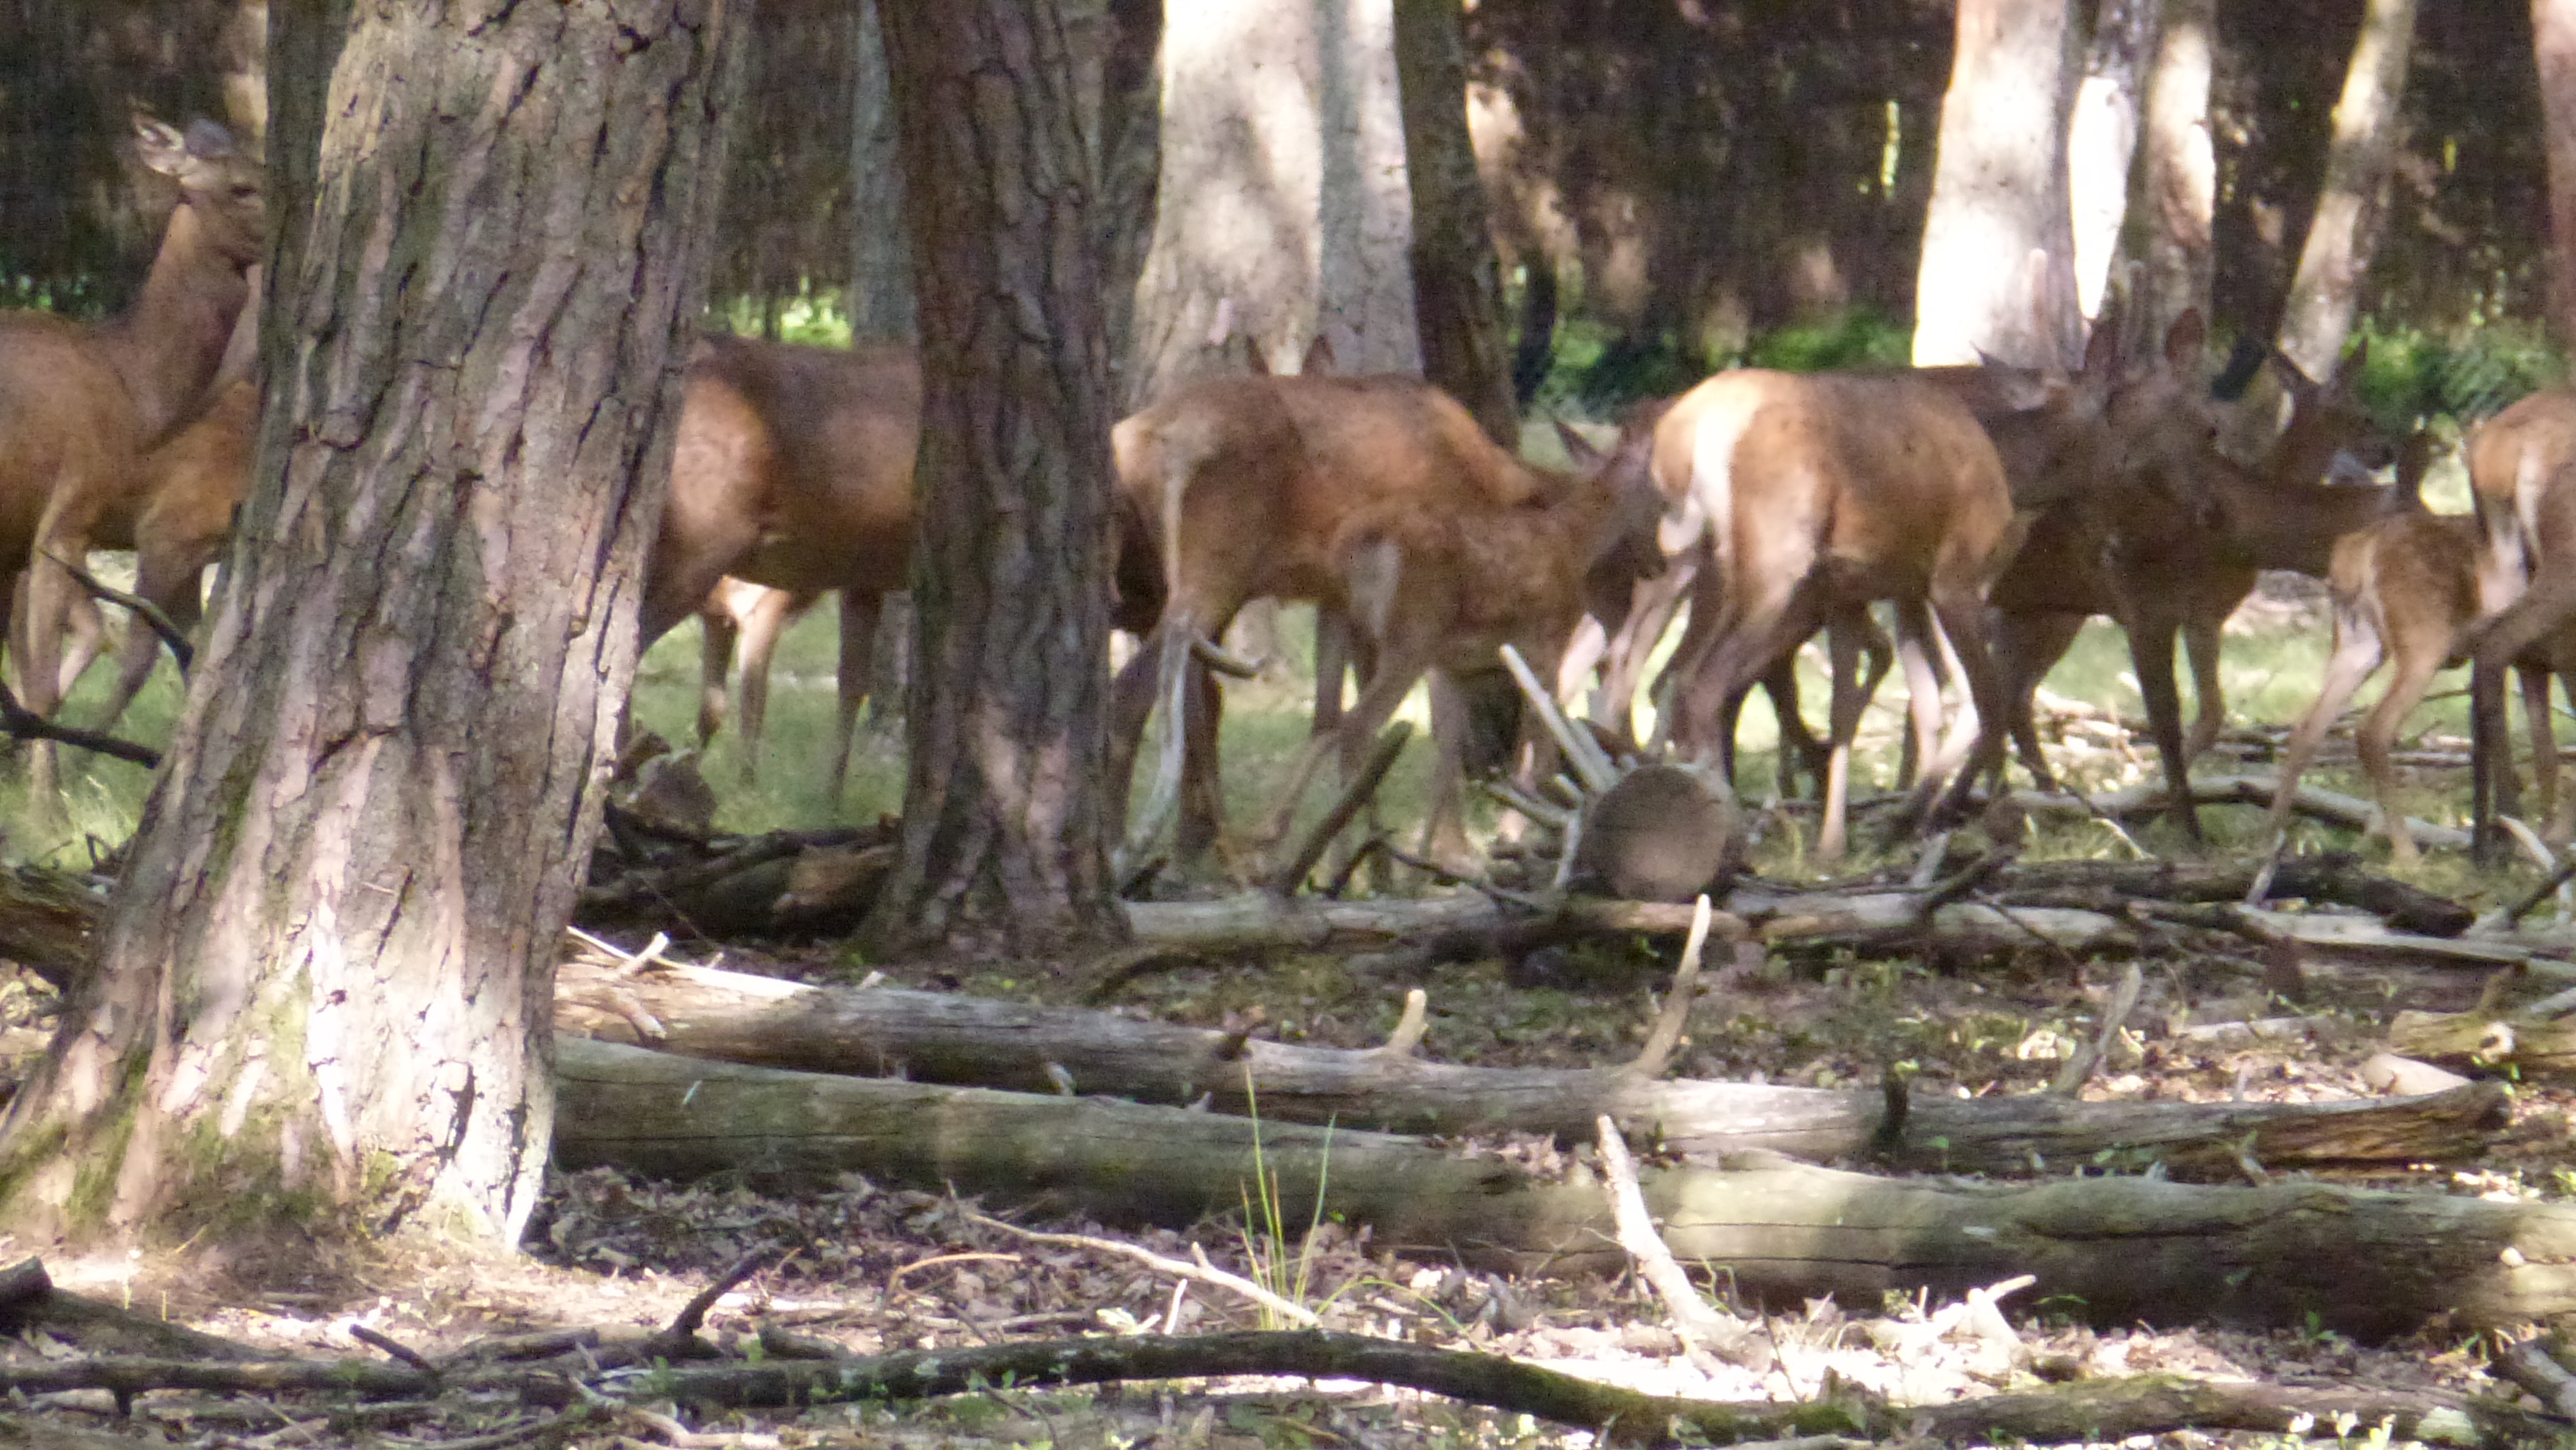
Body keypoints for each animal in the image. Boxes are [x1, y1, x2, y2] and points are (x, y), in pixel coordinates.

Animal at [2259, 435, 2570, 866]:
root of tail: (2356, 554)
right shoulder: (2547, 656)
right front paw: (2548, 840)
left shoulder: (2539, 661)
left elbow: (2546, 751)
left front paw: (2544, 836)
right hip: (2424, 642)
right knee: (2373, 729)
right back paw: (2406, 853)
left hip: (2356, 644)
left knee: (2307, 728)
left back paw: (2270, 838)